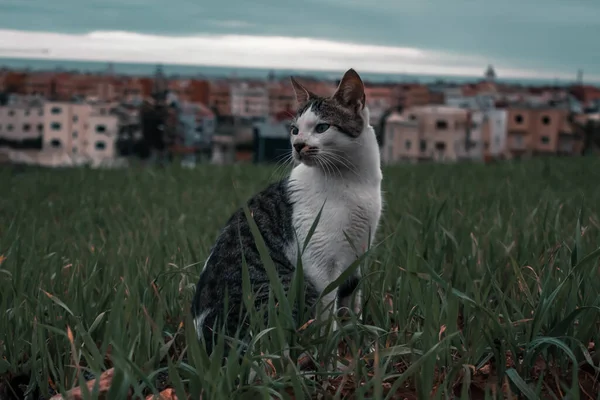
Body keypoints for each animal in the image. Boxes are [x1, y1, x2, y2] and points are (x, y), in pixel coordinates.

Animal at [190, 69, 382, 354]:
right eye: (294, 130)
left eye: (322, 127)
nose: (298, 145)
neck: (354, 181)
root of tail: (206, 341)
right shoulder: (319, 260)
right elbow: (328, 316)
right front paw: (331, 356)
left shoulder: (358, 254)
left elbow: (351, 307)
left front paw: (359, 348)